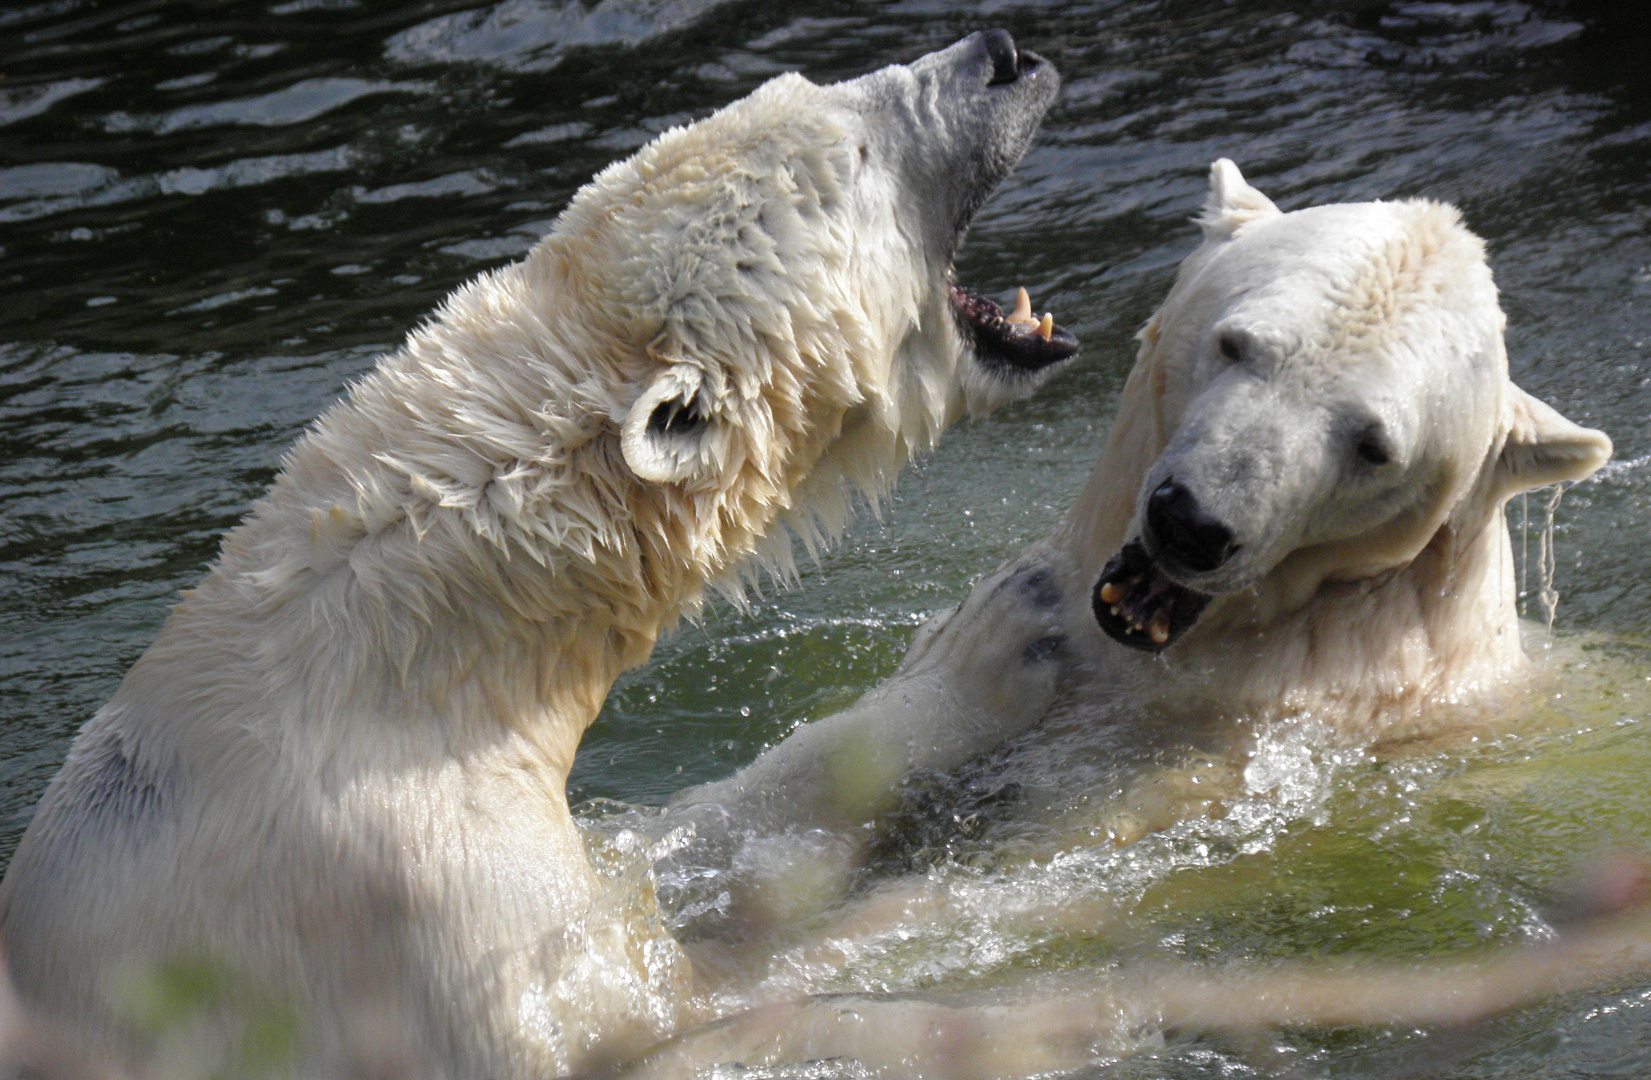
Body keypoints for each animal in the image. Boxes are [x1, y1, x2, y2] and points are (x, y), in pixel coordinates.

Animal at [0, 33, 1083, 1080]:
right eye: (853, 155)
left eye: (823, 88)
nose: (999, 54)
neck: (403, 673)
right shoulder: (434, 912)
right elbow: (675, 1013)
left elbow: (689, 830)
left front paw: (989, 630)